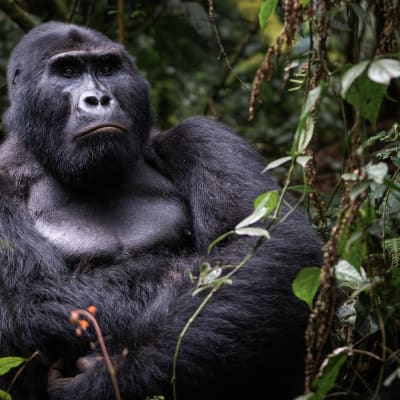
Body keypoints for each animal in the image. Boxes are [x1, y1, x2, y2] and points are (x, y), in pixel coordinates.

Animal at [0, 22, 322, 400]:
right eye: (67, 71)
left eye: (107, 68)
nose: (98, 99)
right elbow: (19, 303)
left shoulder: (201, 136)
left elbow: (271, 246)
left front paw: (108, 377)